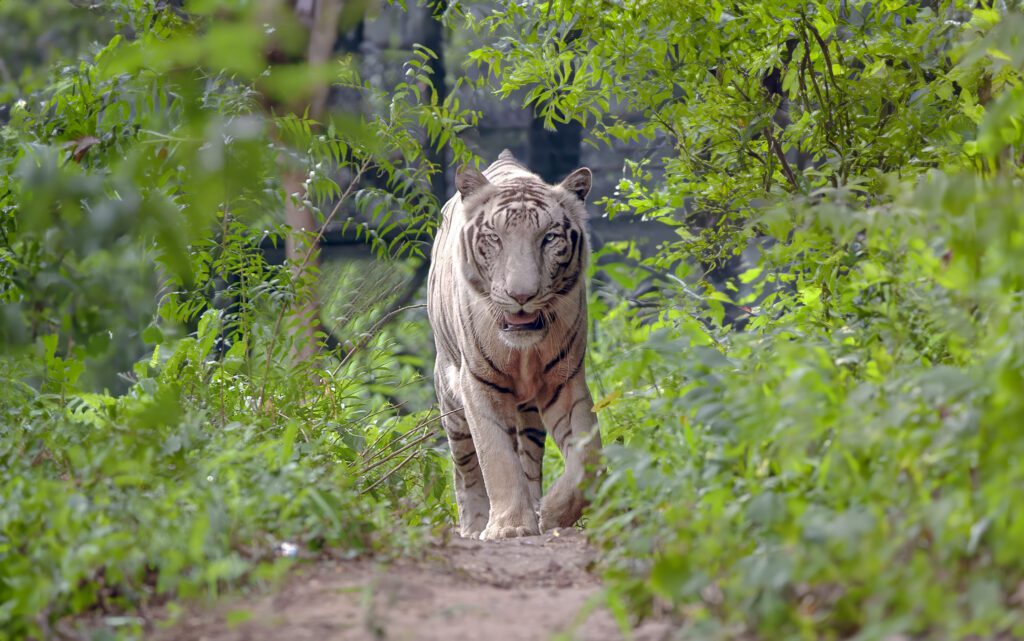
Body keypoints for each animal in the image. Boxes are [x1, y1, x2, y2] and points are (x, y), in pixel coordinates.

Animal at [423, 149, 598, 540]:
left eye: (549, 238)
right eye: (495, 238)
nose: (522, 296)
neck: (524, 351)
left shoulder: (565, 382)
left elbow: (587, 457)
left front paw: (550, 514)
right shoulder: (478, 383)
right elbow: (496, 458)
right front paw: (509, 527)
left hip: (529, 414)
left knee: (528, 458)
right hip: (450, 399)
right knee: (466, 469)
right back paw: (473, 525)